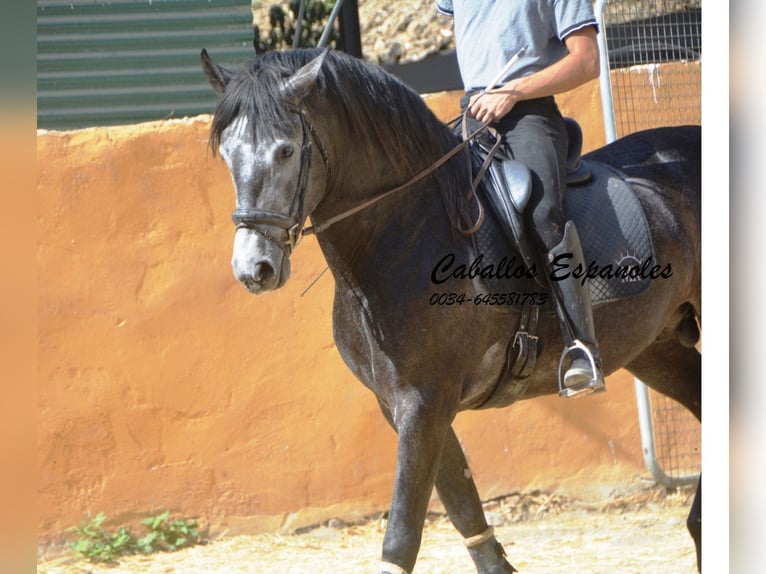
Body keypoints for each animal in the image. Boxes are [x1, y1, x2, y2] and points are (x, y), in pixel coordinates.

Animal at [202, 47, 704, 572]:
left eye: (285, 151)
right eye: (227, 154)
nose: (253, 268)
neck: (408, 235)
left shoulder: (425, 403)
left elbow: (402, 538)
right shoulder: (403, 405)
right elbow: (465, 512)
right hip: (655, 349)